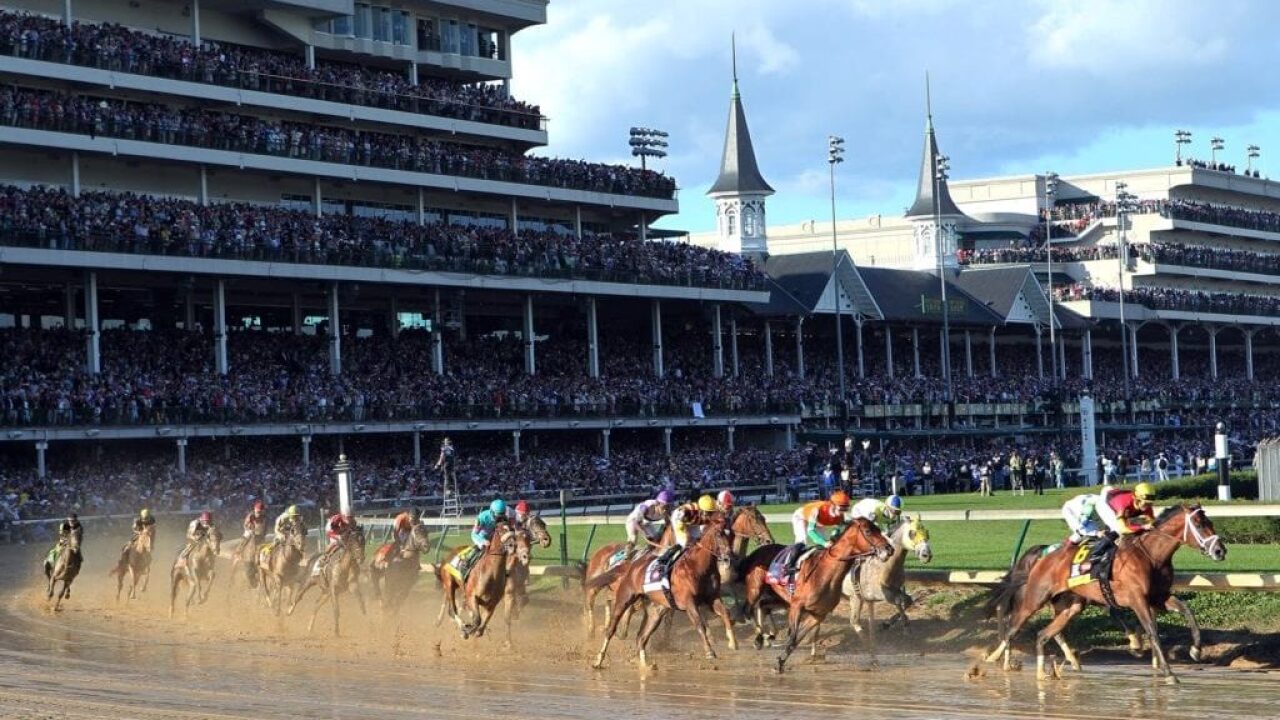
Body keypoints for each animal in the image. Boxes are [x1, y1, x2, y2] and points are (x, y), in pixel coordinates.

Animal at [586, 509, 737, 666]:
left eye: (732, 534)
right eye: (719, 534)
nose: (729, 556)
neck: (699, 566)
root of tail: (632, 565)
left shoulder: (712, 598)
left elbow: (725, 613)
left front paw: (733, 642)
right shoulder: (689, 602)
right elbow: (699, 624)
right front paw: (709, 651)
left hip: (656, 610)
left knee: (641, 638)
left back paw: (646, 666)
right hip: (624, 598)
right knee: (610, 627)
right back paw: (598, 658)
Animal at [742, 515, 890, 671]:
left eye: (878, 529)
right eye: (868, 531)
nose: (889, 549)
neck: (824, 573)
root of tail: (757, 551)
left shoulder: (818, 614)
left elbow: (797, 639)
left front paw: (781, 661)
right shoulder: (796, 606)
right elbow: (792, 637)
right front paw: (779, 662)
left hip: (780, 598)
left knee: (763, 605)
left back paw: (767, 636)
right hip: (755, 589)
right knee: (749, 609)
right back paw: (759, 638)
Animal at [983, 502, 1223, 681]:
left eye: (1210, 522)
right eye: (1199, 524)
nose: (1220, 550)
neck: (1151, 556)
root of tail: (1044, 556)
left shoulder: (1158, 597)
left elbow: (1187, 611)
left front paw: (1196, 650)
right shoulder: (1137, 599)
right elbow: (1151, 631)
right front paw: (1168, 671)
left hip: (1072, 605)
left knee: (1044, 633)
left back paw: (1045, 672)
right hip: (1036, 597)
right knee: (1012, 628)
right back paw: (991, 661)